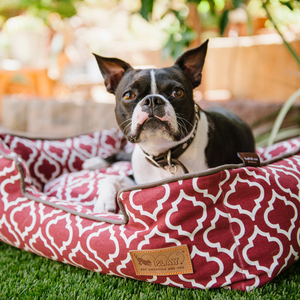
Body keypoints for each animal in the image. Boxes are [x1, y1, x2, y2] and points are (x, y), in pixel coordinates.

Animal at [89, 40, 255, 213]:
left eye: (178, 92)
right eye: (128, 95)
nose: (152, 100)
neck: (162, 154)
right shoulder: (137, 179)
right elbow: (111, 177)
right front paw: (103, 202)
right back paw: (96, 161)